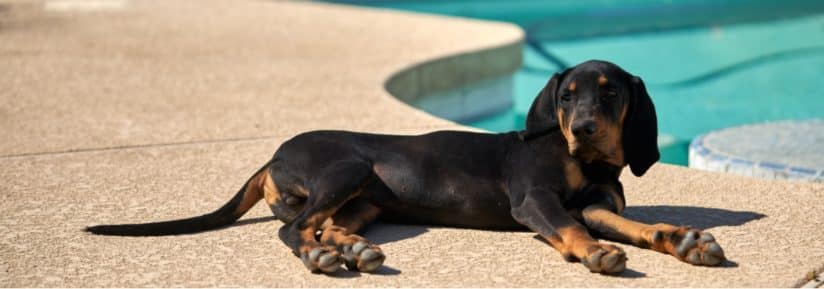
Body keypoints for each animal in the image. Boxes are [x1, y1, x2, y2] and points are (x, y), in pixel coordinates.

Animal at [87, 60, 724, 272]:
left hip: (366, 199)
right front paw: (595, 253)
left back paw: (351, 248)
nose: (584, 129)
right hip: (344, 168)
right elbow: (570, 228)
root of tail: (273, 155)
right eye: (566, 96)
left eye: (609, 94)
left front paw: (680, 239)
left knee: (326, 224)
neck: (586, 165)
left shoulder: (596, 204)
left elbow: (633, 224)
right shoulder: (535, 201)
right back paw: (324, 257)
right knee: (295, 231)